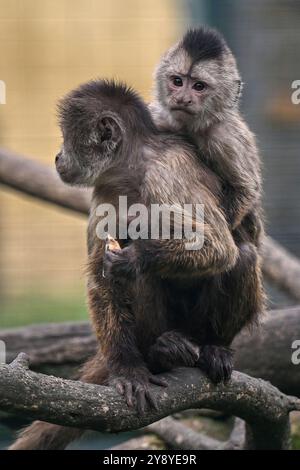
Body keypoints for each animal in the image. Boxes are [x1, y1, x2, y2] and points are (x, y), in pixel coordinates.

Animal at [9, 79, 264, 450]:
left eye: (66, 137)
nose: (57, 155)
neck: (134, 169)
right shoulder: (105, 191)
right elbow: (100, 279)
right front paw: (127, 369)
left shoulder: (167, 173)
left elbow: (219, 247)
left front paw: (136, 255)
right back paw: (160, 352)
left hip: (195, 325)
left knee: (241, 256)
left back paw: (214, 346)